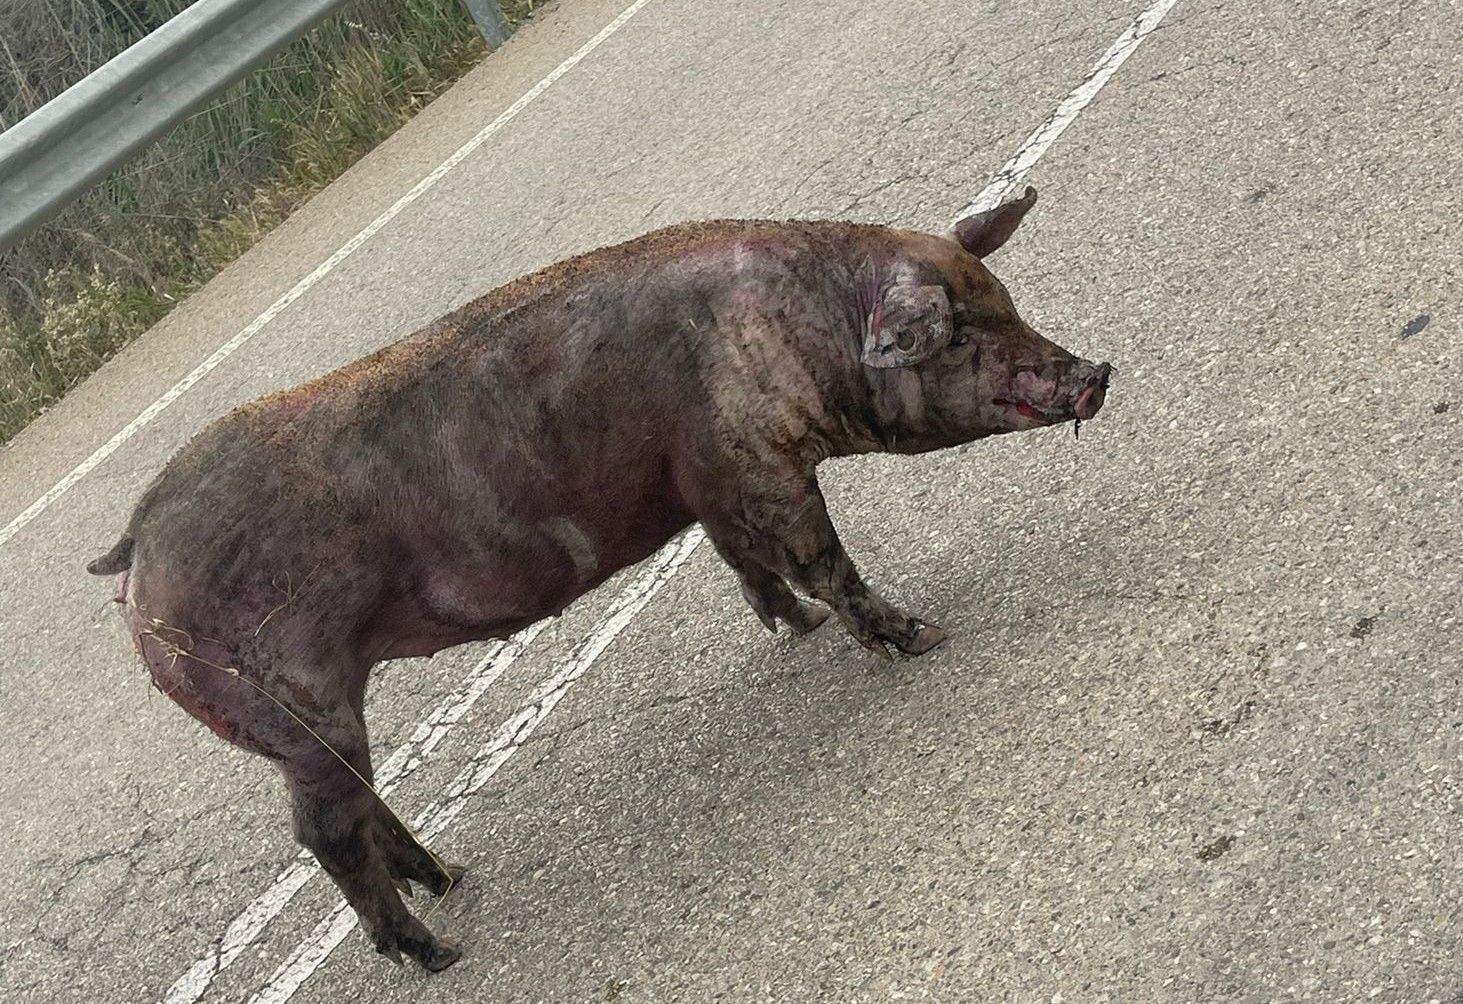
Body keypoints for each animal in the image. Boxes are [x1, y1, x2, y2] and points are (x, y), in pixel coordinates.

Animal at [87, 186, 1109, 971]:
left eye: (1006, 301)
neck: (799, 333)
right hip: (296, 707)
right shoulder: (757, 463)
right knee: (323, 835)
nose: (1095, 373)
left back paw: (452, 878)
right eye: (958, 334)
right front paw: (922, 635)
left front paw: (797, 629)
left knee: (356, 811)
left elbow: (746, 561)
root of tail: (136, 550)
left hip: (308, 727)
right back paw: (441, 950)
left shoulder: (706, 484)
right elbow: (823, 557)